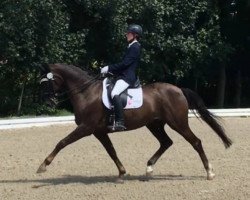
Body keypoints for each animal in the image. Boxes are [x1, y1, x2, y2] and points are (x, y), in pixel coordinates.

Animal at [37, 63, 232, 181]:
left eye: (47, 82)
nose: (48, 102)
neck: (86, 92)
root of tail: (178, 90)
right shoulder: (99, 131)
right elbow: (111, 151)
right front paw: (122, 172)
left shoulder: (86, 128)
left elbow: (62, 142)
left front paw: (43, 166)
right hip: (154, 124)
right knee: (166, 142)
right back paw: (149, 169)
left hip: (178, 123)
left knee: (196, 142)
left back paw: (209, 172)